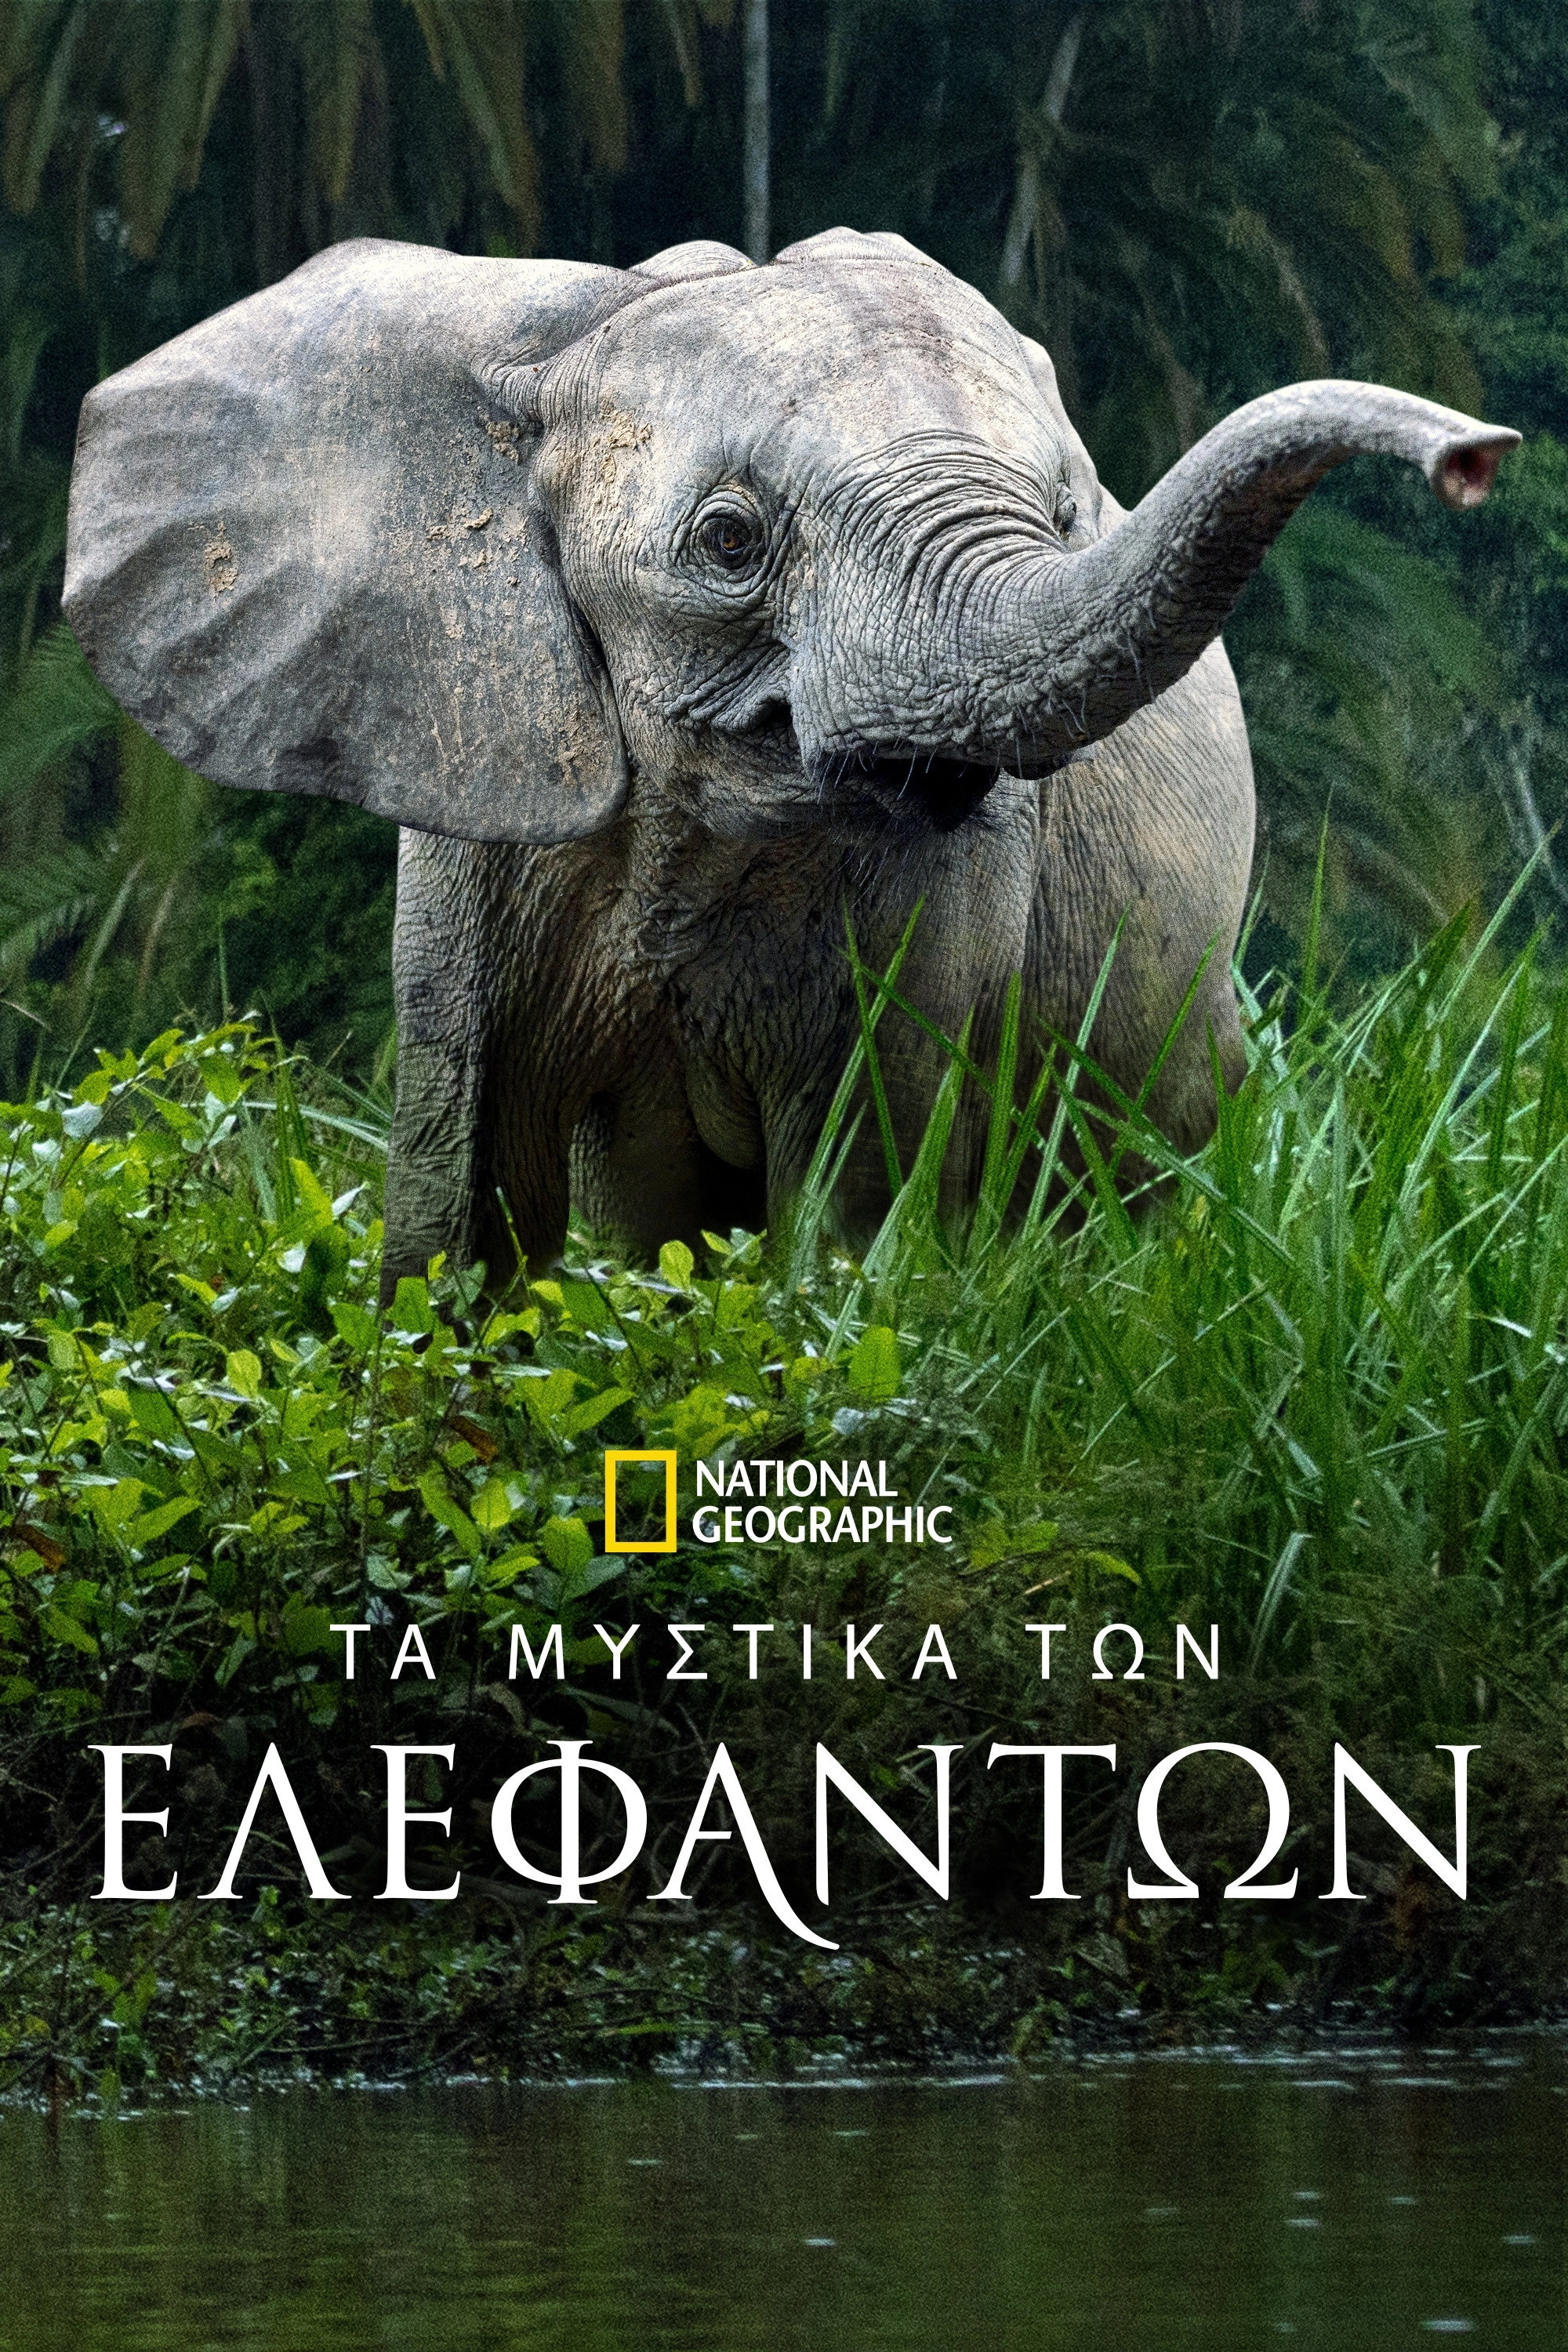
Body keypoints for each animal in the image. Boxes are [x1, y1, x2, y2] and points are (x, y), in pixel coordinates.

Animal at [62, 228, 1517, 1292]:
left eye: (1067, 518)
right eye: (729, 541)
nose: (1476, 458)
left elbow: (855, 1187)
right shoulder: (479, 786)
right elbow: (467, 1189)